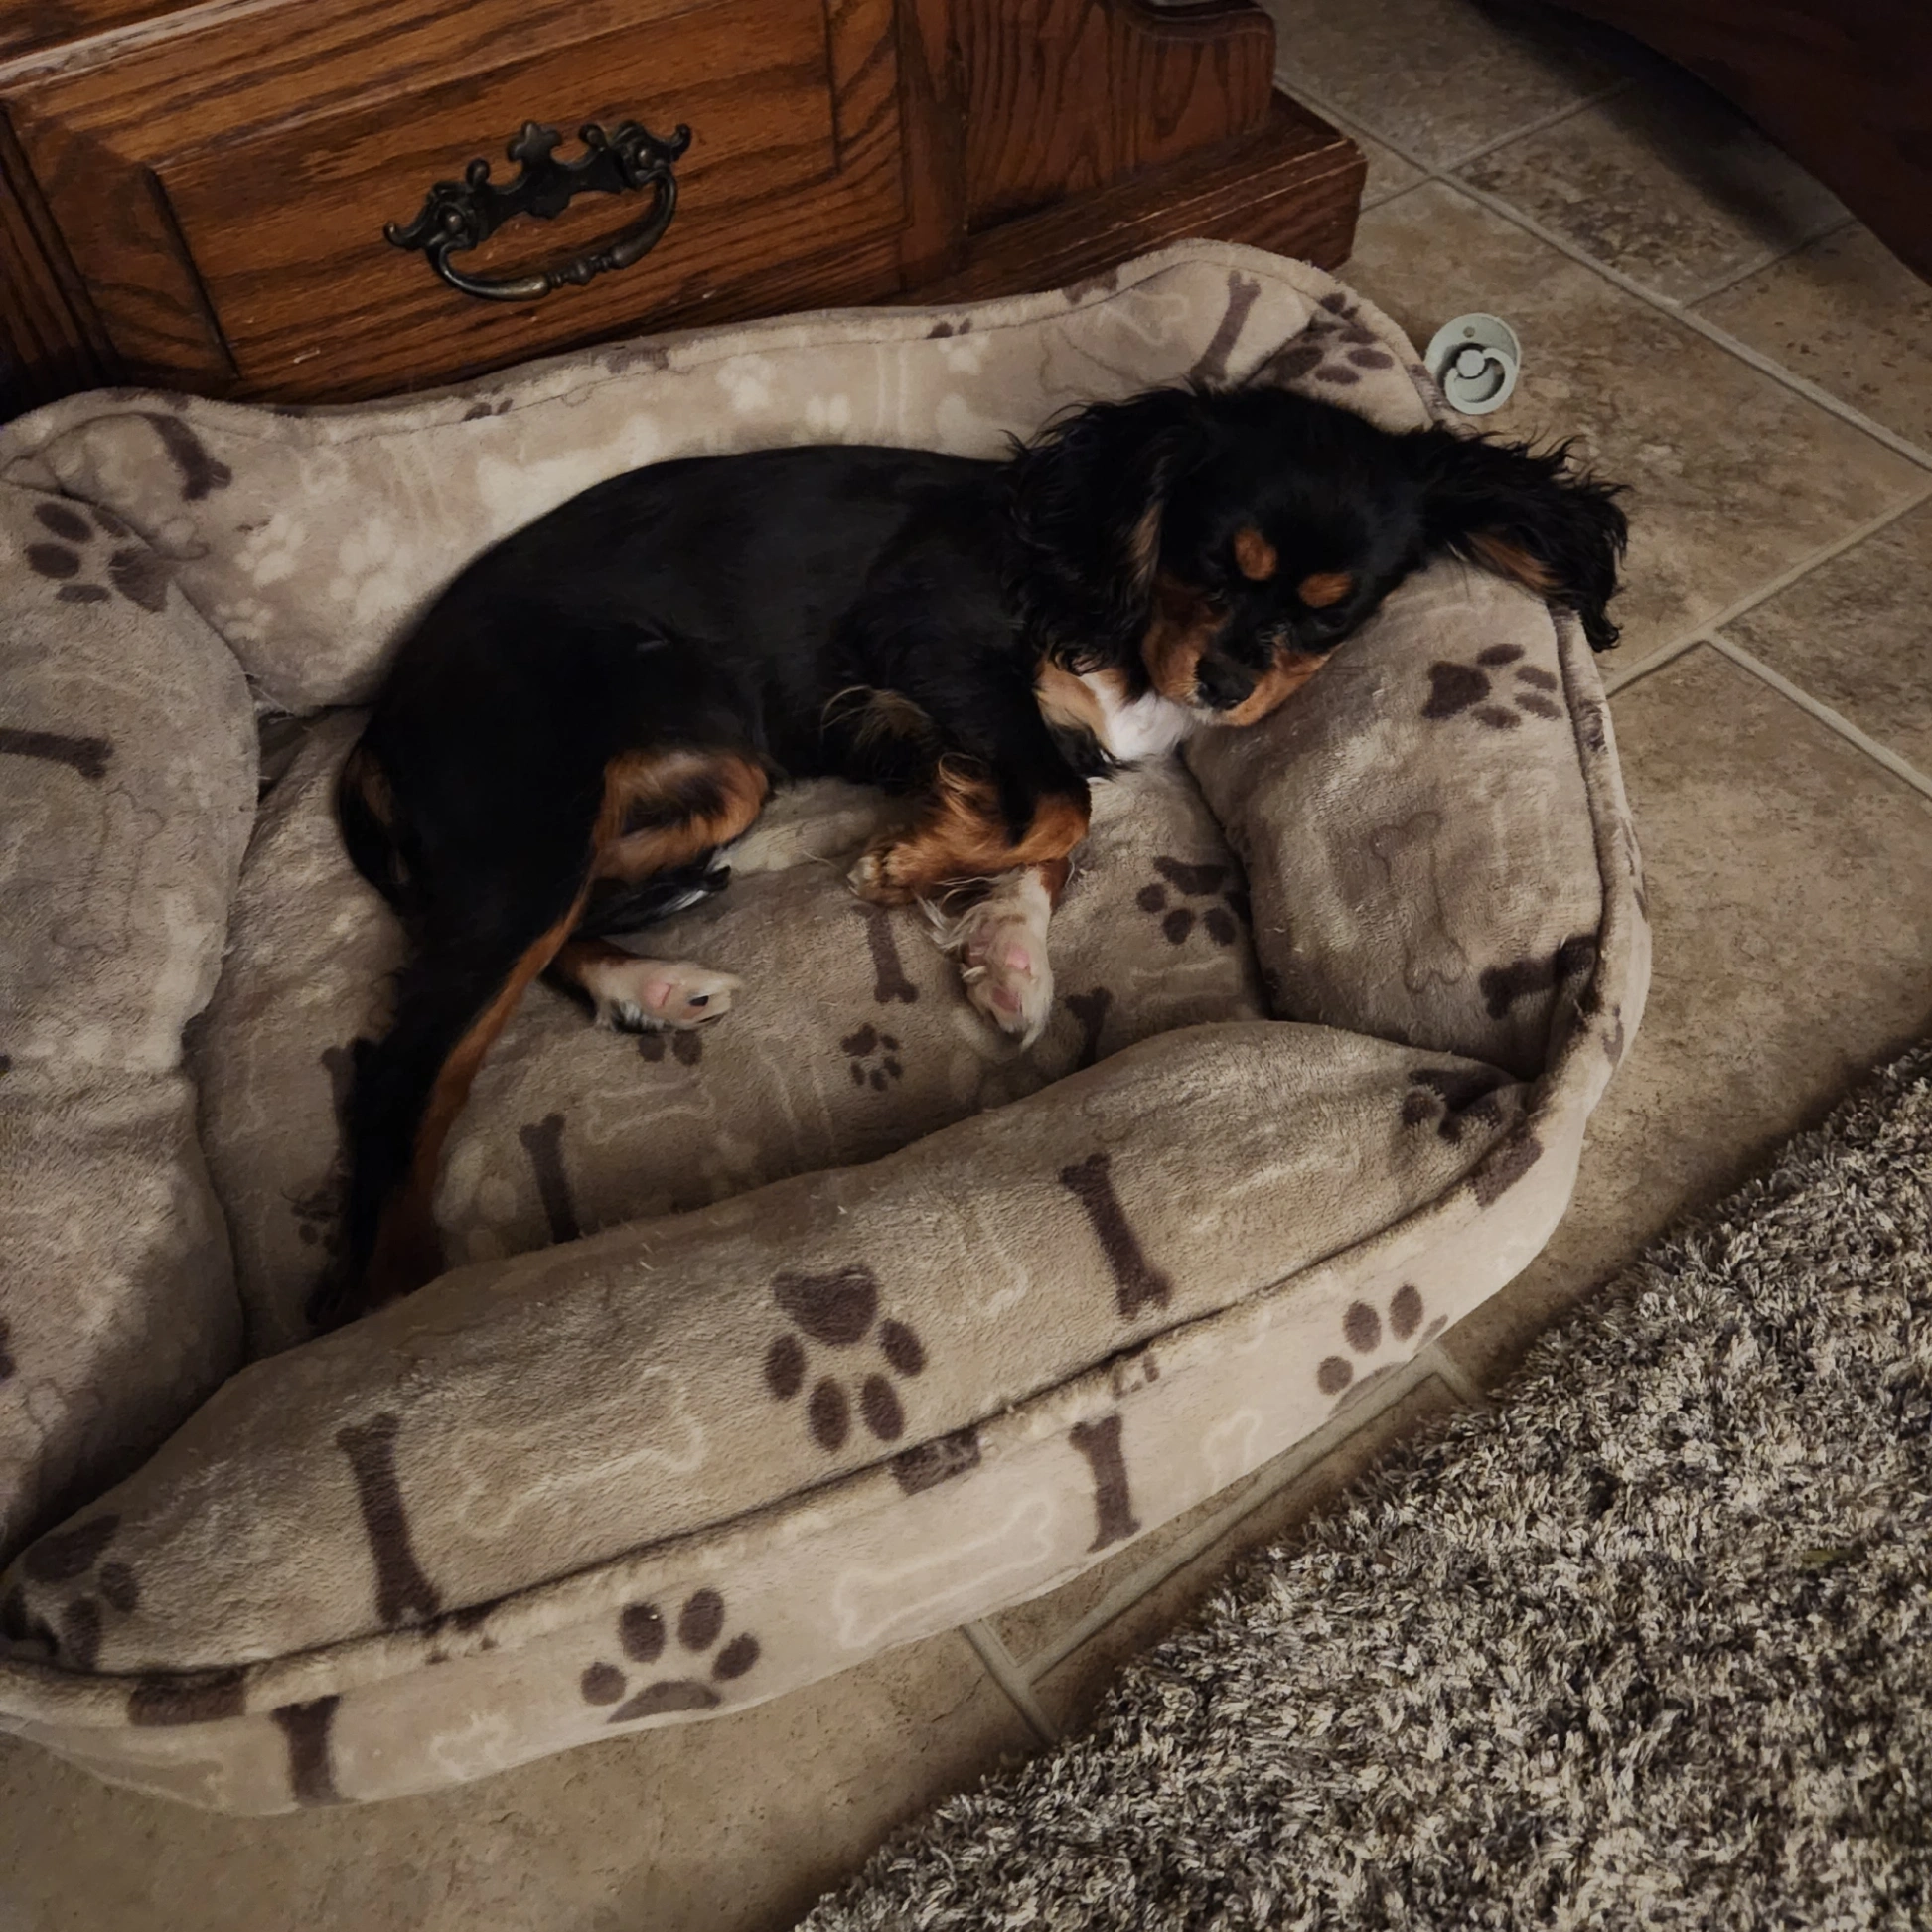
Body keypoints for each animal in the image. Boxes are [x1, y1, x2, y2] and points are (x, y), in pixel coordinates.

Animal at [320, 383, 1625, 1329]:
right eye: (1214, 563)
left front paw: (1002, 946)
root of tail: (380, 724)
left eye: (1330, 611)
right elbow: (1059, 804)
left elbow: (1050, 826)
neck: (1106, 584)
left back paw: (654, 978)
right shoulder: (932, 648)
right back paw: (395, 1303)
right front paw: (905, 865)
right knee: (413, 1059)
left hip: (710, 773)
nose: (1225, 684)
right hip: (537, 811)